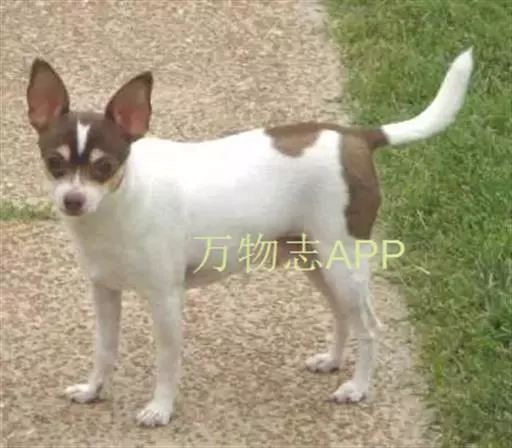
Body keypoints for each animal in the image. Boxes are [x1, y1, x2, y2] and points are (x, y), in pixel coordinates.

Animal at [26, 48, 474, 427]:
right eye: (53, 163)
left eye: (104, 167)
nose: (73, 200)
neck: (120, 203)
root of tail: (356, 137)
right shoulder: (104, 292)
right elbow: (104, 350)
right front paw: (93, 390)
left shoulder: (166, 299)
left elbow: (167, 360)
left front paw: (160, 408)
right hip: (316, 263)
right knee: (342, 316)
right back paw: (332, 361)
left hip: (343, 266)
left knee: (370, 327)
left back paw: (358, 387)